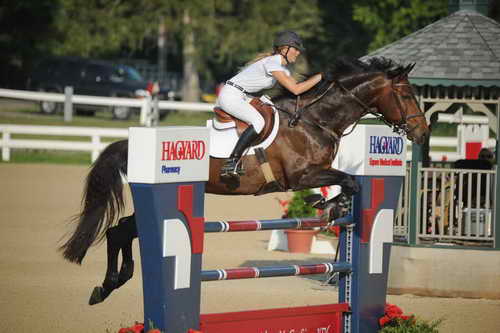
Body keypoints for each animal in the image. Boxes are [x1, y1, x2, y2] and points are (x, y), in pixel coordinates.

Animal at [59, 56, 430, 304]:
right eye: (406, 95)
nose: (423, 133)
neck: (315, 120)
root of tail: (131, 143)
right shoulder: (300, 175)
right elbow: (349, 180)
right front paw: (329, 205)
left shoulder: (315, 172)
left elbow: (348, 182)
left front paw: (329, 205)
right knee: (120, 230)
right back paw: (107, 285)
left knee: (121, 229)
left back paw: (110, 285)